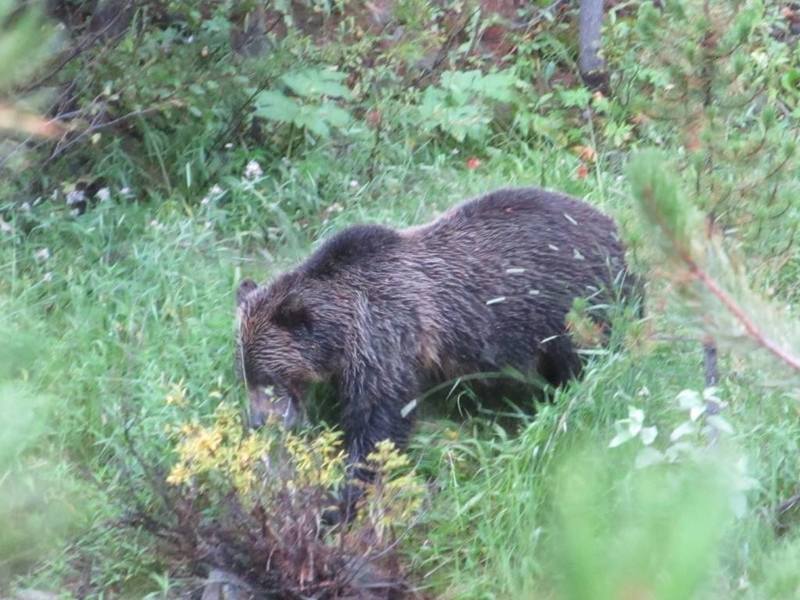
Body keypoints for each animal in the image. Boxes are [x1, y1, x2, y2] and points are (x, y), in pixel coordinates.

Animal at [233, 186, 636, 492]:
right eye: (245, 375)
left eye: (269, 378)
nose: (257, 421)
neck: (342, 332)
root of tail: (614, 227)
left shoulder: (387, 337)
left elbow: (380, 420)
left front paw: (348, 489)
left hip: (578, 305)